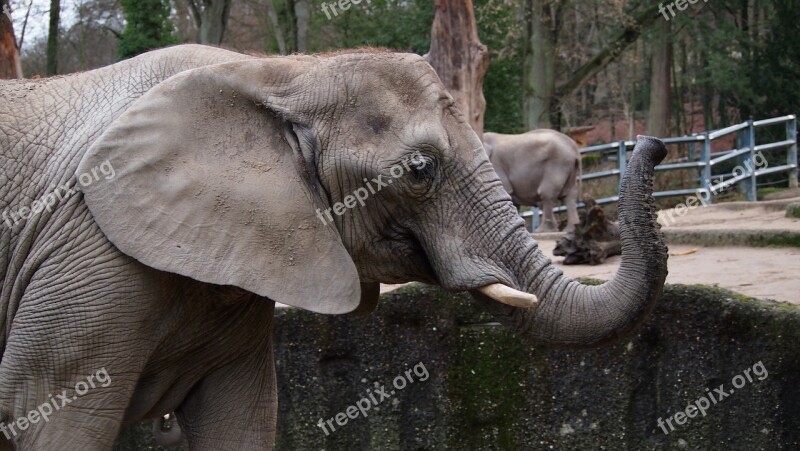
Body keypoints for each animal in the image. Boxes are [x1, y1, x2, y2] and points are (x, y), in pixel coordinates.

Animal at [1, 43, 668, 451]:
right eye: (421, 169)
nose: (655, 144)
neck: (279, 74)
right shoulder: (86, 254)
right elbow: (47, 414)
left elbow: (242, 415)